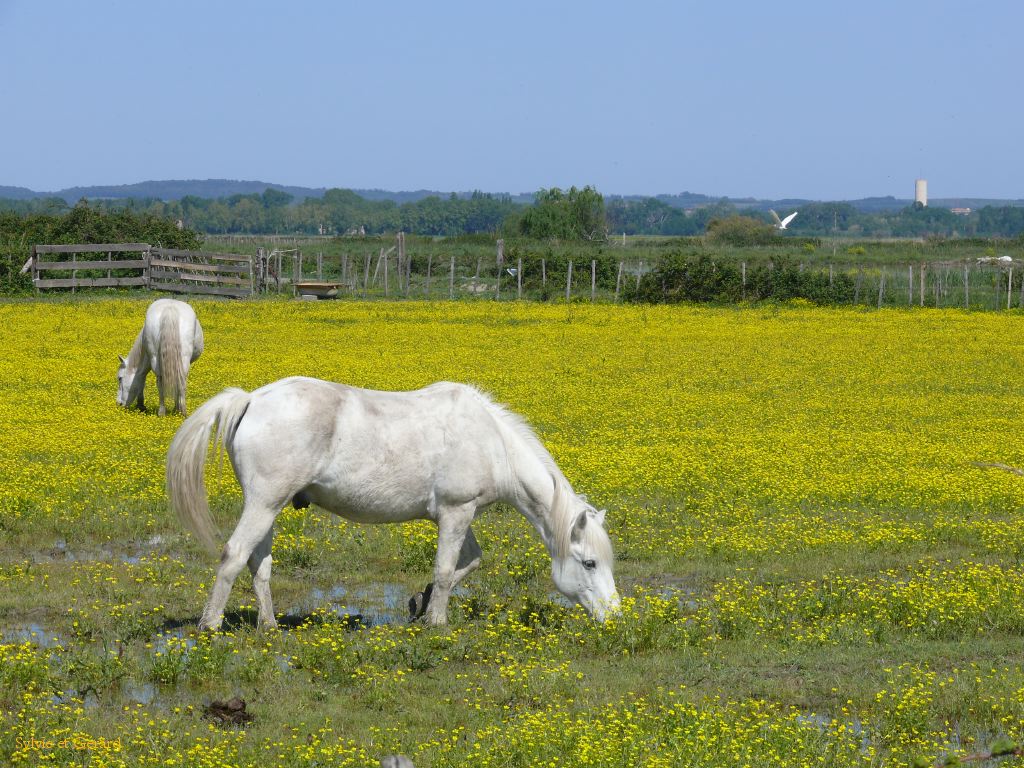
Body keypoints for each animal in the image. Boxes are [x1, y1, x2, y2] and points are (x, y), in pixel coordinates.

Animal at [165, 376, 620, 629]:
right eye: (589, 563)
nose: (615, 616)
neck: (493, 443)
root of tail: (251, 399)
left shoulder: (462, 514)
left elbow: (468, 563)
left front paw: (420, 604)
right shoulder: (455, 513)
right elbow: (445, 569)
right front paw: (436, 622)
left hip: (270, 507)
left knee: (258, 564)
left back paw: (269, 626)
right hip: (263, 504)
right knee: (233, 556)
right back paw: (210, 625)